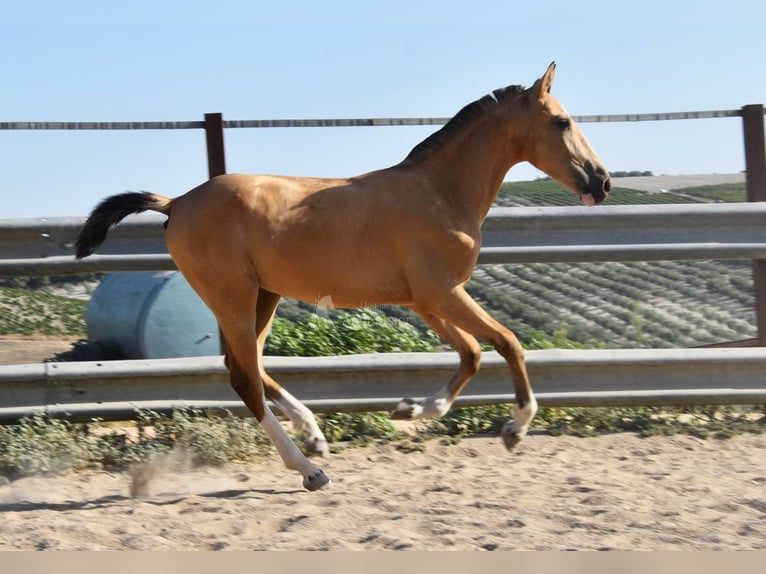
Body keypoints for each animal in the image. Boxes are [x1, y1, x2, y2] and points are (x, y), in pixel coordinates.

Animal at [78, 63, 612, 492]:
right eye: (562, 121)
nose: (602, 182)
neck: (439, 193)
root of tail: (177, 203)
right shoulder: (443, 292)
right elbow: (506, 343)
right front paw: (515, 428)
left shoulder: (426, 299)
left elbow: (472, 353)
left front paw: (412, 409)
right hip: (232, 295)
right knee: (244, 378)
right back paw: (310, 470)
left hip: (263, 297)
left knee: (249, 366)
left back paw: (314, 436)